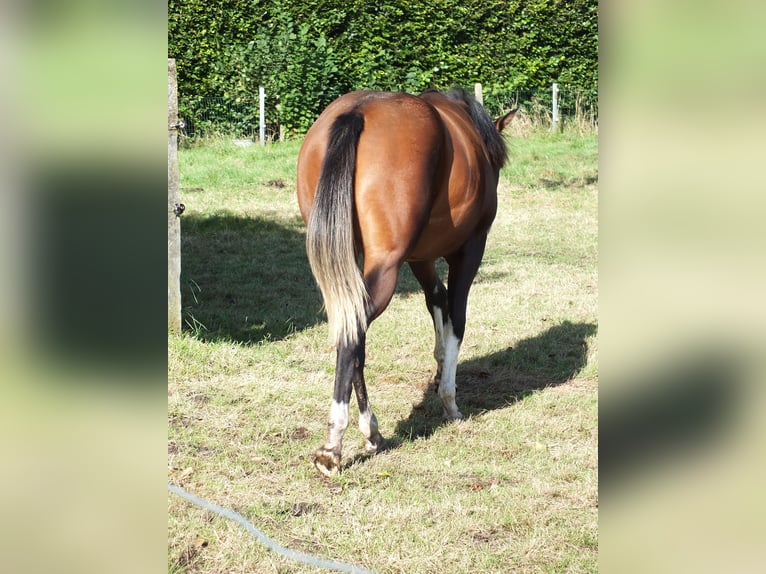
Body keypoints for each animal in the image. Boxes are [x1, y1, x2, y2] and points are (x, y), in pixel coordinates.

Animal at [296, 89, 516, 476]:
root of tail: (357, 112)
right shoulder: (469, 250)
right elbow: (456, 319)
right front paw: (449, 399)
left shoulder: (421, 258)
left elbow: (436, 301)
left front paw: (440, 368)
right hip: (387, 265)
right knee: (353, 335)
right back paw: (334, 445)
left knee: (352, 333)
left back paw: (371, 431)